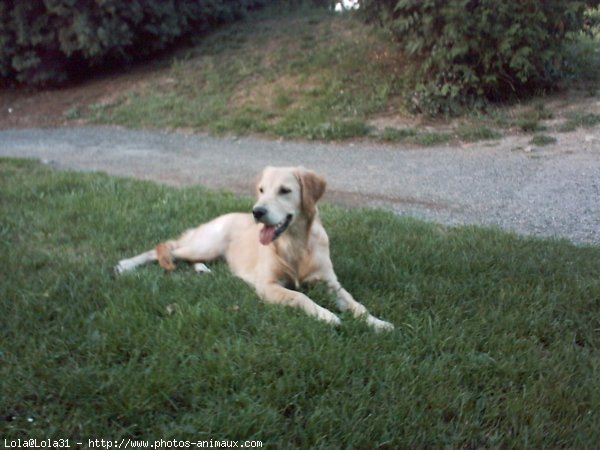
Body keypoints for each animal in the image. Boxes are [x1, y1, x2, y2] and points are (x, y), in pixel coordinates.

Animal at [116, 165, 394, 330]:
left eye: (285, 190)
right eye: (261, 190)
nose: (257, 212)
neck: (296, 243)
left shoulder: (331, 283)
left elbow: (357, 304)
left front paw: (377, 322)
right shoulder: (267, 286)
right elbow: (300, 296)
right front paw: (327, 315)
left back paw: (202, 269)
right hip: (205, 245)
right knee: (165, 250)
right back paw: (125, 265)